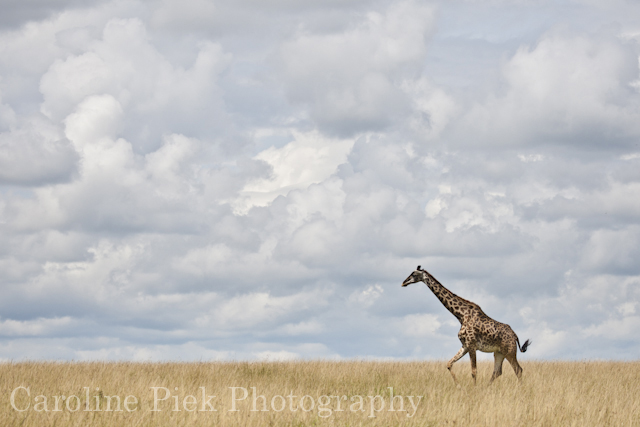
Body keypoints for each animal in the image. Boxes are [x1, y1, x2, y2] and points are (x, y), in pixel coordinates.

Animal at [400, 266, 528, 386]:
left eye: (414, 274)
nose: (404, 282)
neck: (461, 316)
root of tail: (515, 336)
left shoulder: (472, 345)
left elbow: (474, 371)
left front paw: (474, 389)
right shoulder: (465, 345)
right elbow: (449, 364)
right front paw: (459, 386)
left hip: (509, 351)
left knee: (518, 369)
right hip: (499, 352)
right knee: (497, 371)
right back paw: (487, 387)